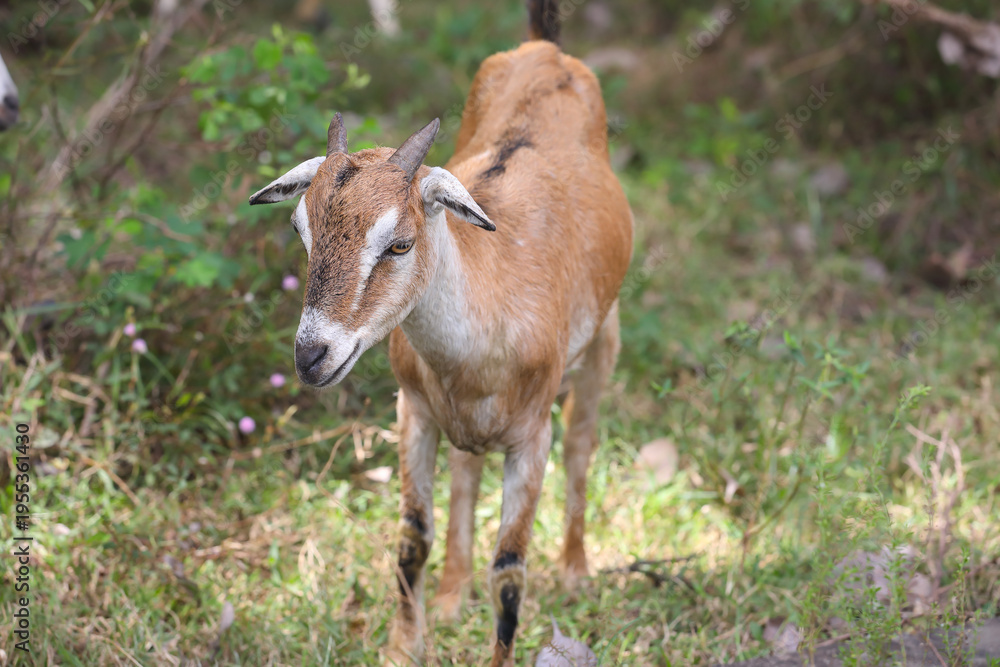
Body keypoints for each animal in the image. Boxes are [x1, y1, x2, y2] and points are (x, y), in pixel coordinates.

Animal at [248, 0, 632, 663]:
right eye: (302, 228)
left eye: (400, 242)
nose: (311, 355)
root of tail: (545, 49)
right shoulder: (417, 413)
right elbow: (413, 537)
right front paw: (404, 647)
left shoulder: (531, 439)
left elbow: (510, 569)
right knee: (466, 468)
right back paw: (453, 595)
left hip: (602, 346)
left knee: (583, 445)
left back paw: (577, 571)